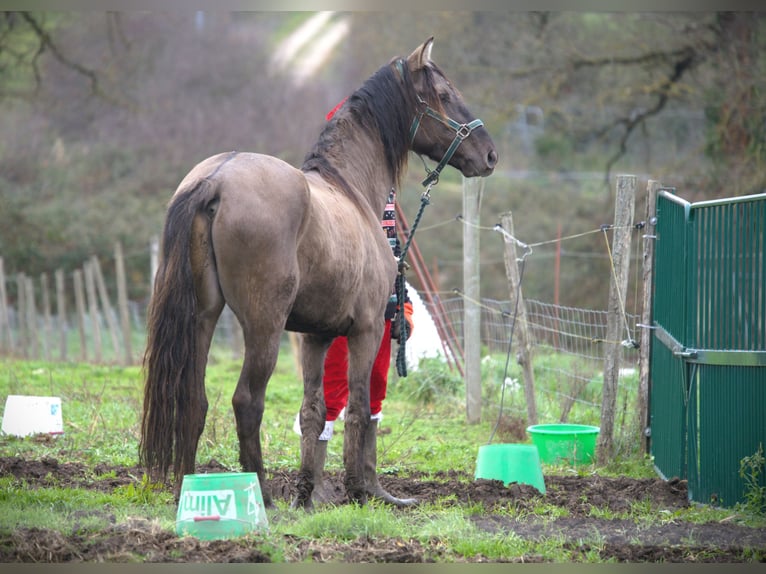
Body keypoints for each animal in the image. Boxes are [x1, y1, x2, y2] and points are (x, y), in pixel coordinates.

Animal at [139, 37, 497, 509]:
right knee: (247, 401)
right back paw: (261, 495)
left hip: (203, 317)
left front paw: (308, 494)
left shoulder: (316, 336)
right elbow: (359, 409)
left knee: (194, 402)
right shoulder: (366, 331)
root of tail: (215, 178)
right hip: (264, 326)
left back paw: (191, 489)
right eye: (443, 93)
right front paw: (360, 491)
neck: (348, 188)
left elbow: (314, 413)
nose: (489, 154)